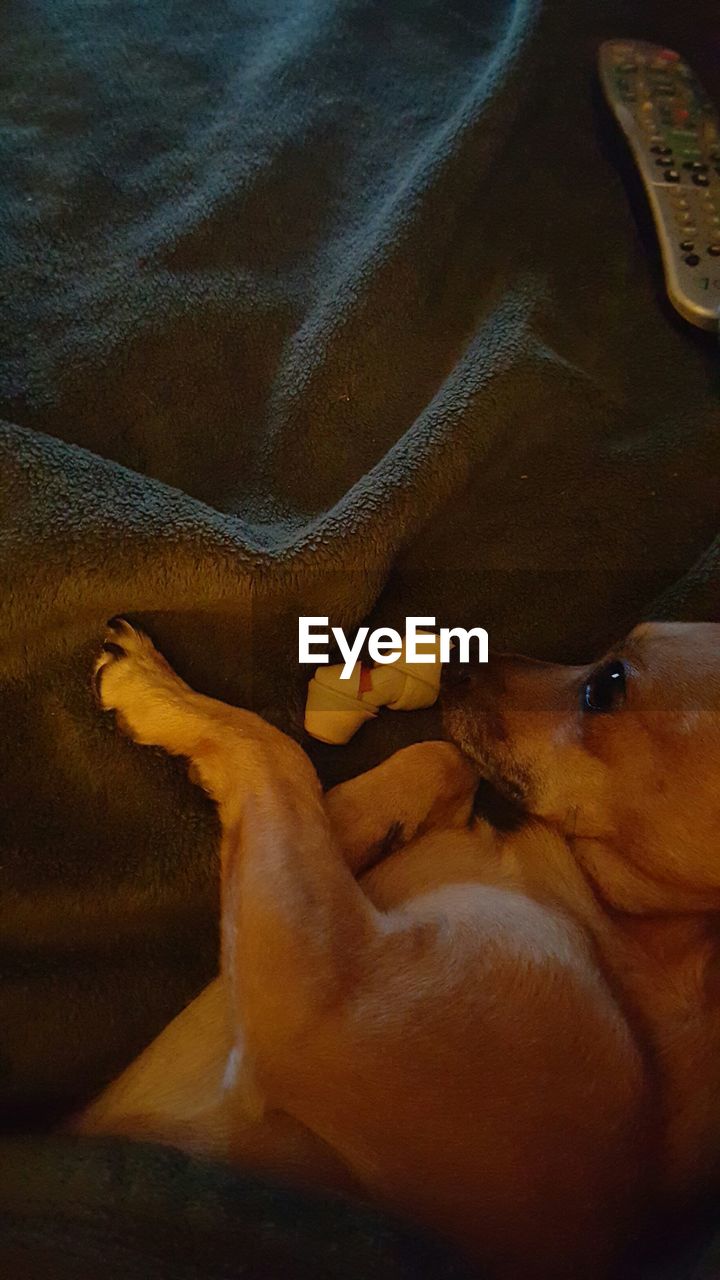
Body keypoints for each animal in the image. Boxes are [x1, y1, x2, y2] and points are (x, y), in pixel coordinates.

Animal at [74, 614, 720, 1274]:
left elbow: (276, 751)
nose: (461, 656)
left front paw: (155, 690)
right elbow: (438, 761)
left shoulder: (326, 993)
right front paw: (348, 818)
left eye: (608, 686)